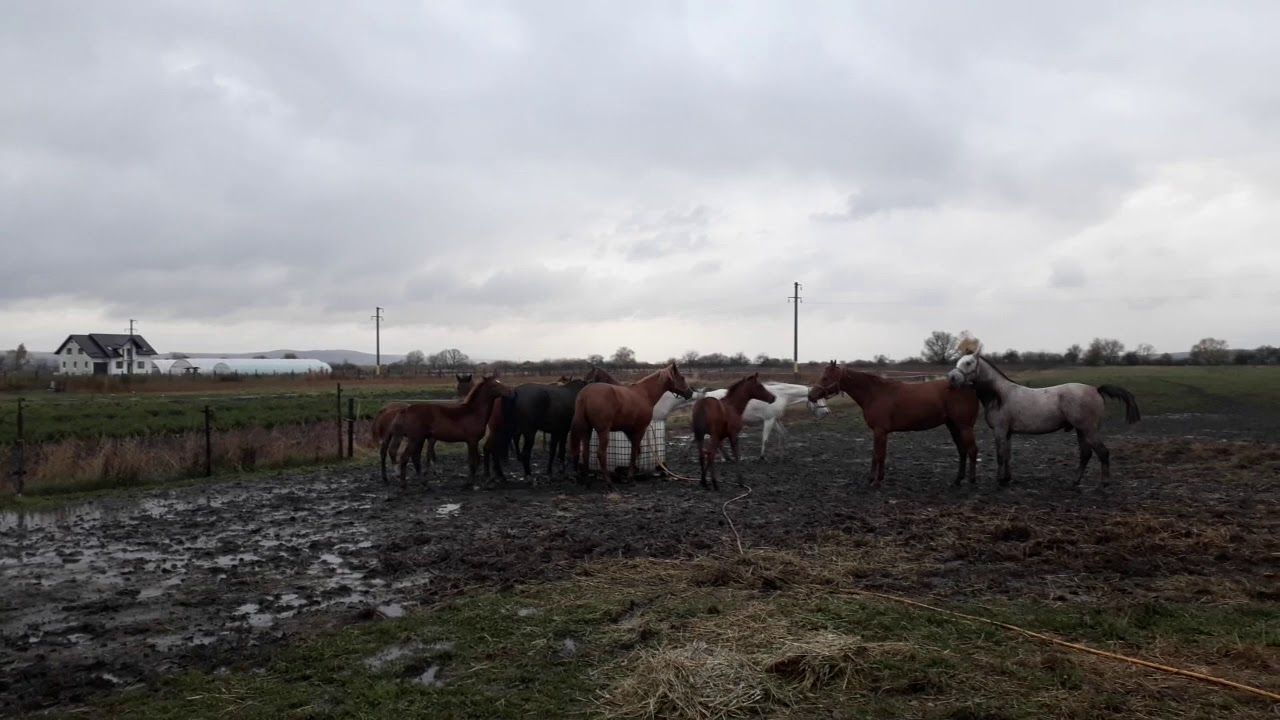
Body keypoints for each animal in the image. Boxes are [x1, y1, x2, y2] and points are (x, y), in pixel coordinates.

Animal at [380, 374, 513, 489]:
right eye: (494, 385)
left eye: (499, 382)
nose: (510, 392)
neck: (473, 412)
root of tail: (406, 410)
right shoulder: (472, 441)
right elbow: (473, 461)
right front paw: (469, 483)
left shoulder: (470, 442)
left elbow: (473, 461)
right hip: (415, 439)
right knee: (405, 457)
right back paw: (403, 484)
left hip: (420, 439)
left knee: (415, 458)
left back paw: (424, 483)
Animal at [808, 361, 980, 487]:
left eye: (825, 378)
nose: (811, 395)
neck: (875, 393)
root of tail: (968, 386)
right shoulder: (878, 432)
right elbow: (875, 454)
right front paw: (873, 478)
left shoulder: (880, 431)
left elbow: (879, 455)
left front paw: (877, 481)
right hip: (953, 427)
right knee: (962, 451)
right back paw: (957, 480)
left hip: (965, 427)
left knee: (972, 450)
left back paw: (971, 481)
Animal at [947, 353, 1141, 487]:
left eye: (968, 363)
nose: (951, 378)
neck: (999, 395)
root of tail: (1096, 389)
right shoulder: (1008, 432)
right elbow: (1007, 455)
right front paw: (1007, 479)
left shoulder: (1000, 430)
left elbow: (1000, 455)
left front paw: (999, 480)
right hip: (1081, 431)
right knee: (1085, 454)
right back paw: (1075, 481)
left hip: (1088, 430)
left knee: (1103, 452)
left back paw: (1104, 483)